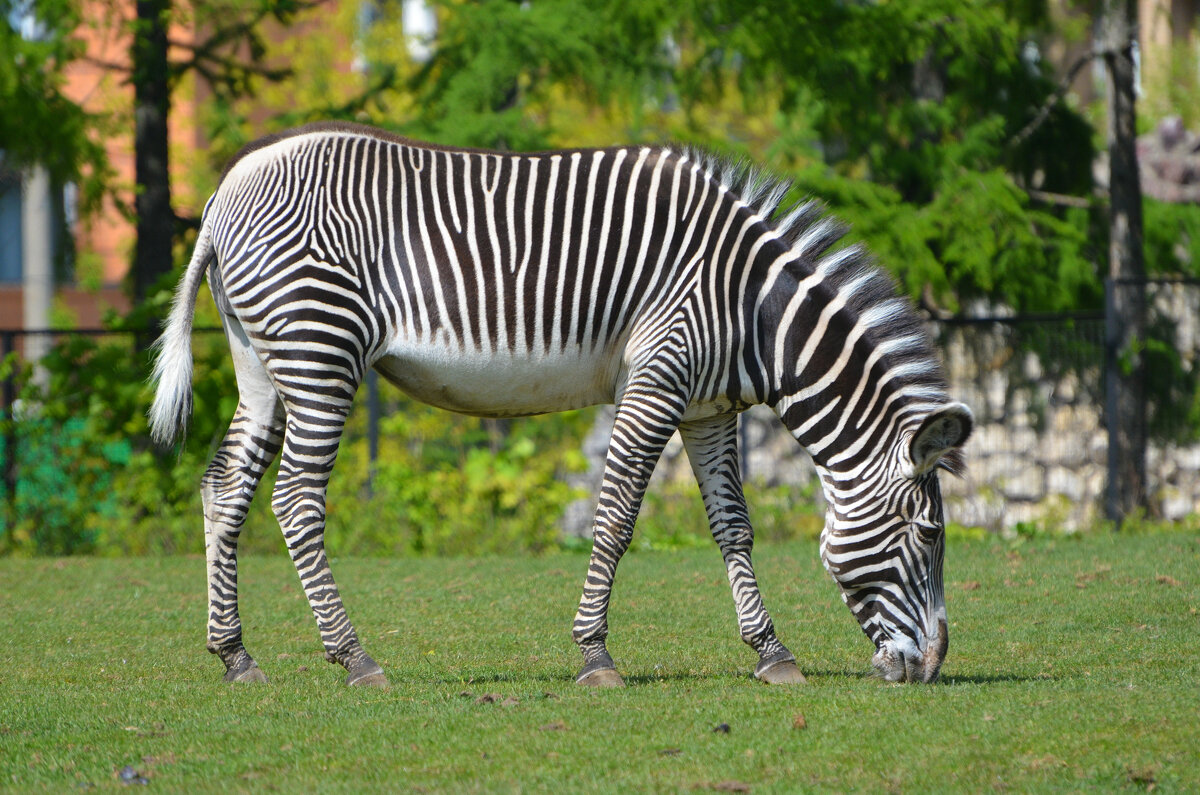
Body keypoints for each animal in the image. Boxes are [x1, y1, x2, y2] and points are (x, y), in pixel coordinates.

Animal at [152, 121, 974, 686]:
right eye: (929, 533)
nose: (932, 667)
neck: (753, 308)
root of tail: (227, 188)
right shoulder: (657, 380)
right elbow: (614, 520)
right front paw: (595, 655)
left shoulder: (708, 408)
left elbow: (733, 528)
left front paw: (772, 652)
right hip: (319, 350)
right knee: (295, 499)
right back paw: (354, 657)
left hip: (263, 363)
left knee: (224, 487)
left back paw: (234, 655)